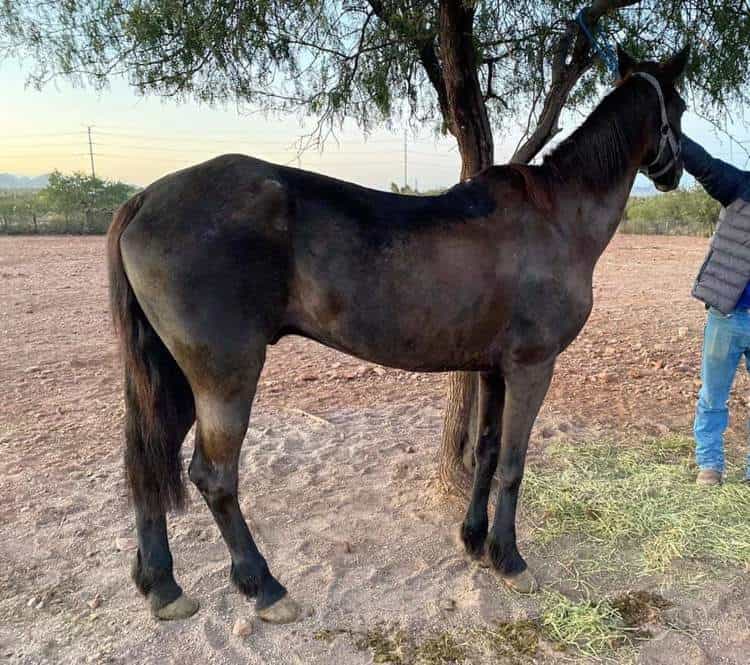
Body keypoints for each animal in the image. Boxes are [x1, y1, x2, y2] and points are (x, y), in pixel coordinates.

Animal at [108, 48, 692, 624]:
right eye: (681, 107)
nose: (675, 172)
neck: (555, 216)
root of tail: (146, 198)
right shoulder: (532, 366)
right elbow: (512, 462)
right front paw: (509, 558)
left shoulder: (493, 368)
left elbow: (485, 452)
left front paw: (474, 540)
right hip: (225, 377)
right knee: (214, 476)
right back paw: (264, 587)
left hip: (175, 377)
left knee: (148, 461)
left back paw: (162, 585)